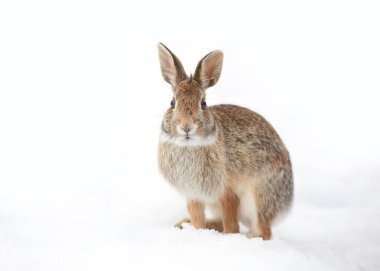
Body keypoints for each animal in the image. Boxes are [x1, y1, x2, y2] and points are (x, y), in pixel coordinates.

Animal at [156, 42, 292, 240]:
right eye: (172, 102)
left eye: (203, 103)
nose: (186, 127)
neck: (189, 146)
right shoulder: (194, 195)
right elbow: (197, 218)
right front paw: (197, 233)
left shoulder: (227, 193)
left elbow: (231, 223)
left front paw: (229, 238)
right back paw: (183, 225)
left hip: (259, 196)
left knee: (263, 229)